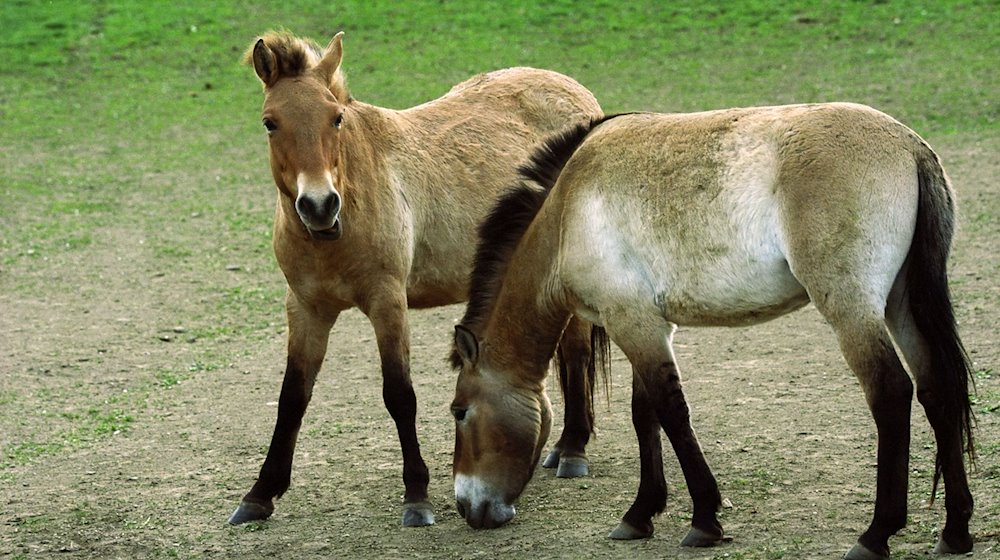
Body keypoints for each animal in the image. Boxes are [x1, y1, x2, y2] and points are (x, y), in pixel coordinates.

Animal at [228, 30, 600, 528]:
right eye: (270, 123)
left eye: (336, 117)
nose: (319, 205)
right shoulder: (306, 309)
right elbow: (292, 398)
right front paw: (259, 494)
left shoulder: (388, 303)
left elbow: (399, 395)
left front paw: (417, 496)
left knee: (576, 352)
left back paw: (572, 449)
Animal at [452, 106, 976, 560]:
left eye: (459, 412)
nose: (466, 507)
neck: (567, 212)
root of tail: (909, 146)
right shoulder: (647, 324)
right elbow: (645, 414)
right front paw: (640, 515)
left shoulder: (631, 323)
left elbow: (672, 414)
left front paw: (704, 520)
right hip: (901, 304)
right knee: (936, 389)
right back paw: (955, 530)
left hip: (853, 310)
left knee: (891, 393)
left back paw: (876, 534)